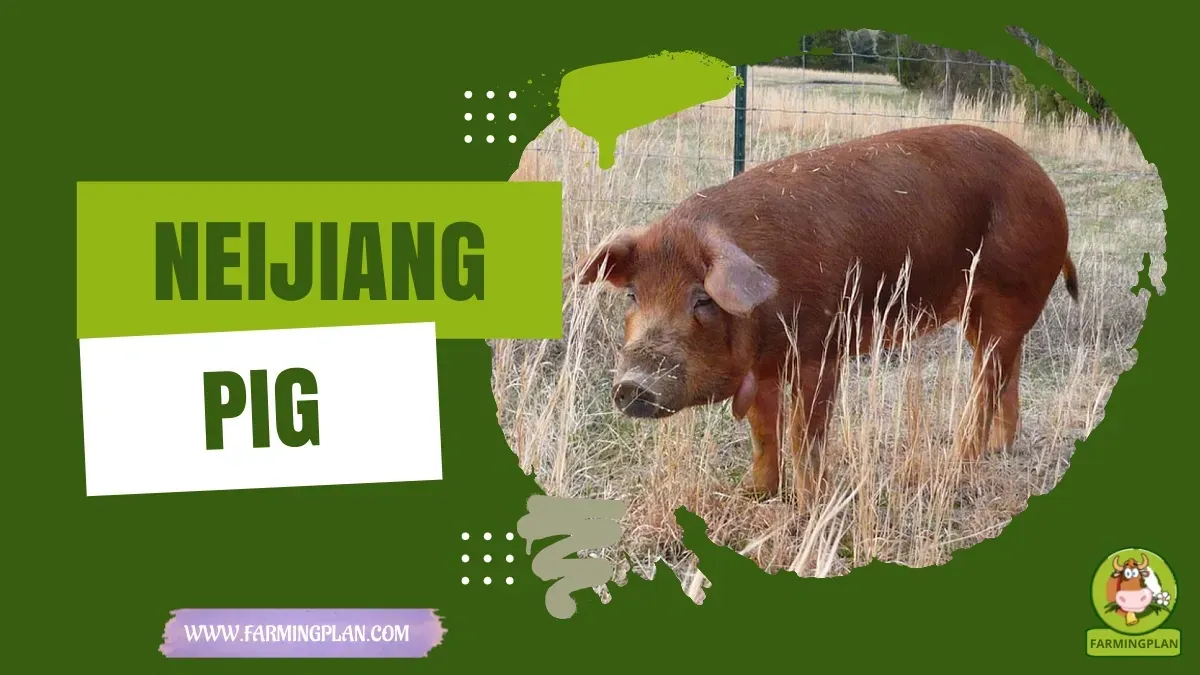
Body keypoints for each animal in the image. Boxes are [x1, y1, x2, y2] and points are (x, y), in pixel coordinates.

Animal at [566, 124, 1080, 507]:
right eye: (633, 294)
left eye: (702, 299)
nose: (633, 384)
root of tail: (1049, 186)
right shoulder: (765, 367)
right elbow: (763, 432)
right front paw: (754, 493)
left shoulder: (820, 349)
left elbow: (803, 434)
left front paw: (812, 503)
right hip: (980, 312)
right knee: (1007, 370)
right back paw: (999, 449)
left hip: (1009, 291)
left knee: (987, 380)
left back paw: (958, 464)